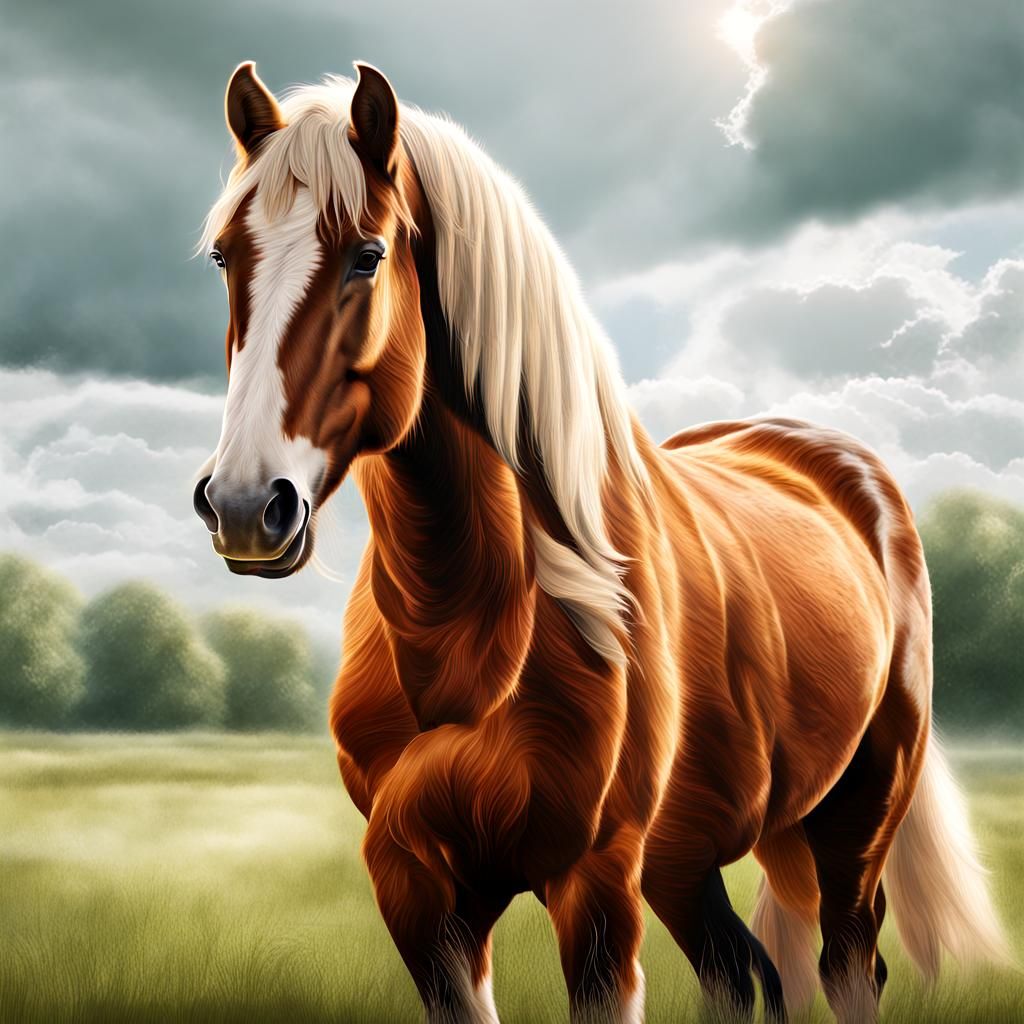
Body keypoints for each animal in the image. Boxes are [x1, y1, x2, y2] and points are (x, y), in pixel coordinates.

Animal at [193, 61, 1008, 1023]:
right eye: (225, 256)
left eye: (367, 255)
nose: (247, 504)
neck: (471, 631)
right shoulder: (419, 894)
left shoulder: (594, 882)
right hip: (693, 858)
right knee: (745, 974)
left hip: (855, 813)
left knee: (849, 964)